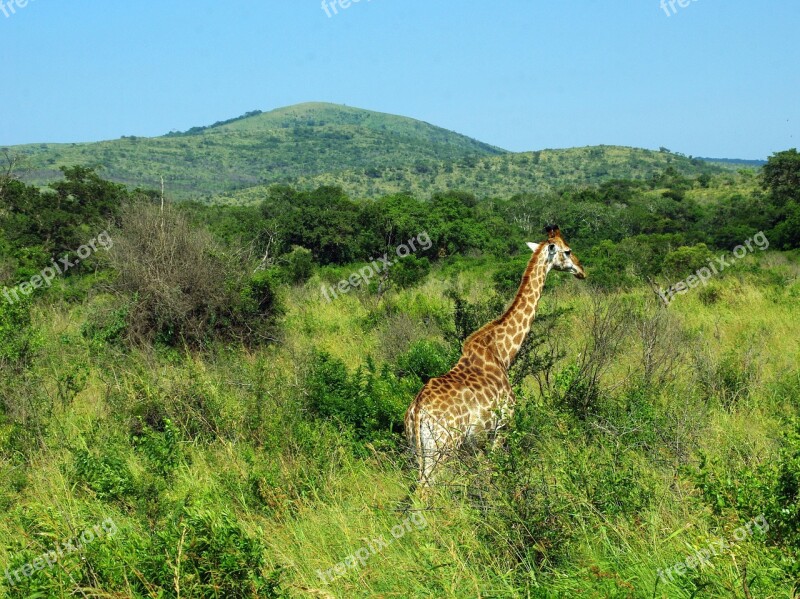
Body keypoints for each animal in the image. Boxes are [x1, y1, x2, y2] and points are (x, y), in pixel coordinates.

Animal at [404, 225, 584, 492]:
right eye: (568, 251)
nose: (582, 270)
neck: (502, 352)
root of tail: (417, 412)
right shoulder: (501, 428)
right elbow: (494, 474)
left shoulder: (476, 442)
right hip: (443, 447)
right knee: (428, 490)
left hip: (417, 450)